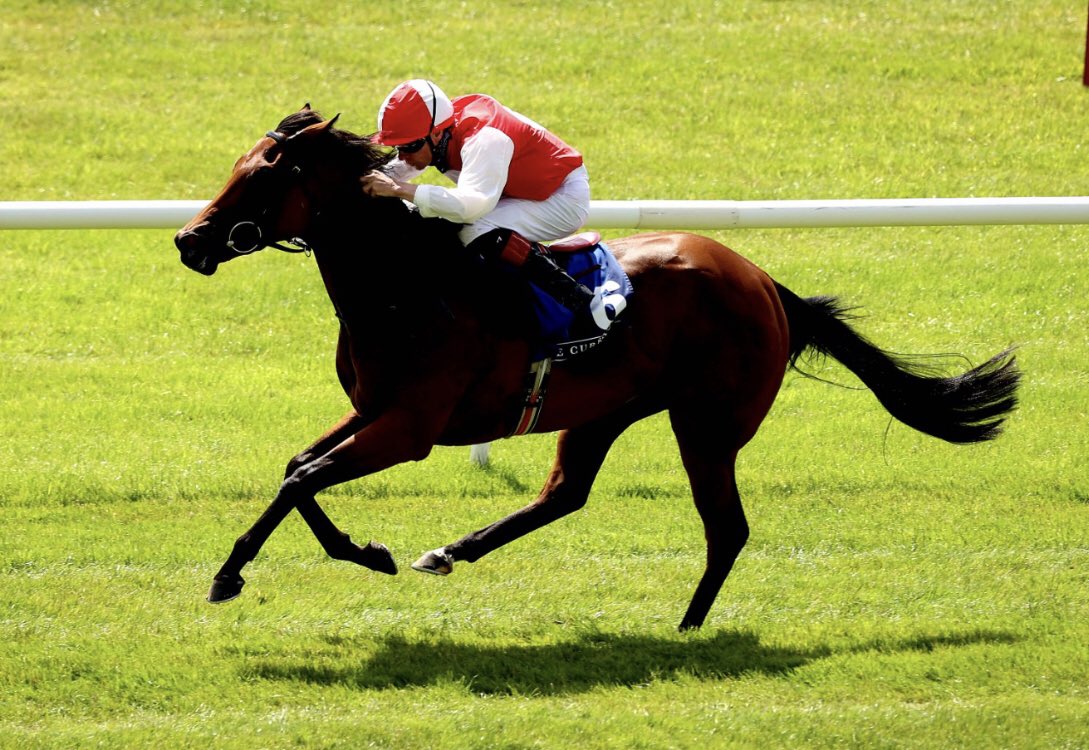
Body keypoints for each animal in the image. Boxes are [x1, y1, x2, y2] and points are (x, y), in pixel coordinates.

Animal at [174, 106, 1020, 631]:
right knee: (565, 494)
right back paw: (450, 552)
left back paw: (687, 626)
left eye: (262, 176)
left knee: (726, 527)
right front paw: (344, 554)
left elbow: (304, 478)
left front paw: (242, 573)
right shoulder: (374, 408)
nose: (188, 240)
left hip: (708, 425)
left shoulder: (409, 427)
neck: (404, 285)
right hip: (605, 410)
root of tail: (762, 281)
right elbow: (297, 469)